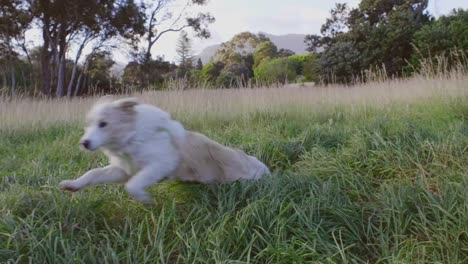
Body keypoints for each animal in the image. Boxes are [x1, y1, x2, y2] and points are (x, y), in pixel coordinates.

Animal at [58, 96, 270, 203]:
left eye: (103, 124)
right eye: (88, 125)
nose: (84, 143)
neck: (133, 136)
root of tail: (262, 167)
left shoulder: (160, 164)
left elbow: (133, 185)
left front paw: (145, 199)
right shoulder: (123, 170)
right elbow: (93, 173)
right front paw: (72, 185)